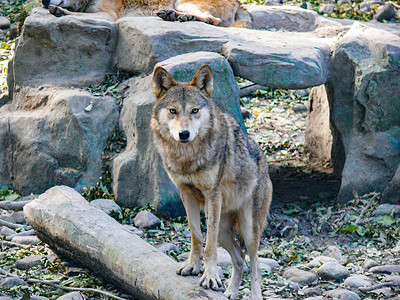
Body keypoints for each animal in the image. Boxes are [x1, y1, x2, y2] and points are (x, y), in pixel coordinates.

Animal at [152, 64, 274, 298]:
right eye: (173, 111)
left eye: (194, 111)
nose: (184, 133)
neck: (187, 156)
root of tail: (264, 161)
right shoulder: (186, 194)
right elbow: (196, 235)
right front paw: (192, 266)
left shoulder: (212, 195)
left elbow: (209, 246)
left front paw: (210, 277)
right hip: (225, 231)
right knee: (239, 258)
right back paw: (231, 292)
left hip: (248, 229)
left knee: (255, 264)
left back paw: (253, 295)